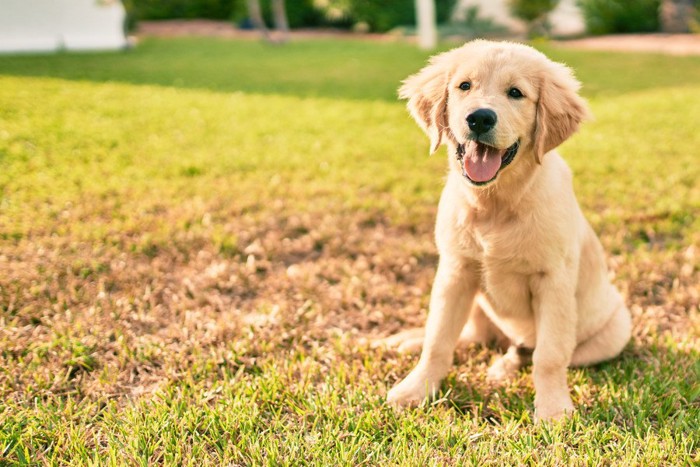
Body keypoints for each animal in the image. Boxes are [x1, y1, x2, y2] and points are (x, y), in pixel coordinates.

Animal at [386, 39, 632, 420]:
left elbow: (550, 355)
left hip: (615, 329)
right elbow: (439, 338)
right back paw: (411, 339)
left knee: (532, 351)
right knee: (473, 335)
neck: (495, 205)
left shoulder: (553, 281)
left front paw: (553, 409)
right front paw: (417, 388)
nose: (480, 117)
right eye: (464, 86)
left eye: (516, 93)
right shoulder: (456, 271)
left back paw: (504, 366)